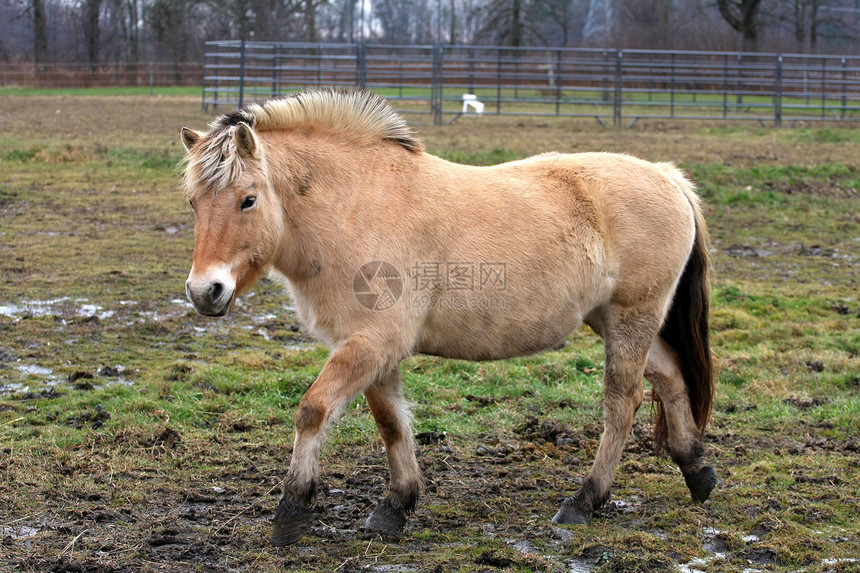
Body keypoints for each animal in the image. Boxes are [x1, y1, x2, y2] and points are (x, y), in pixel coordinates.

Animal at [178, 87, 716, 544]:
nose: (206, 291)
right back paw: (698, 472)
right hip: (610, 319)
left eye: (248, 200)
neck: (357, 207)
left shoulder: (372, 343)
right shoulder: (370, 349)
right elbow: (391, 423)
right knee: (670, 377)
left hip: (631, 318)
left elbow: (313, 410)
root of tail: (667, 176)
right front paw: (396, 506)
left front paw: (291, 512)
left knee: (623, 403)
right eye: (193, 202)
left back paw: (585, 501)